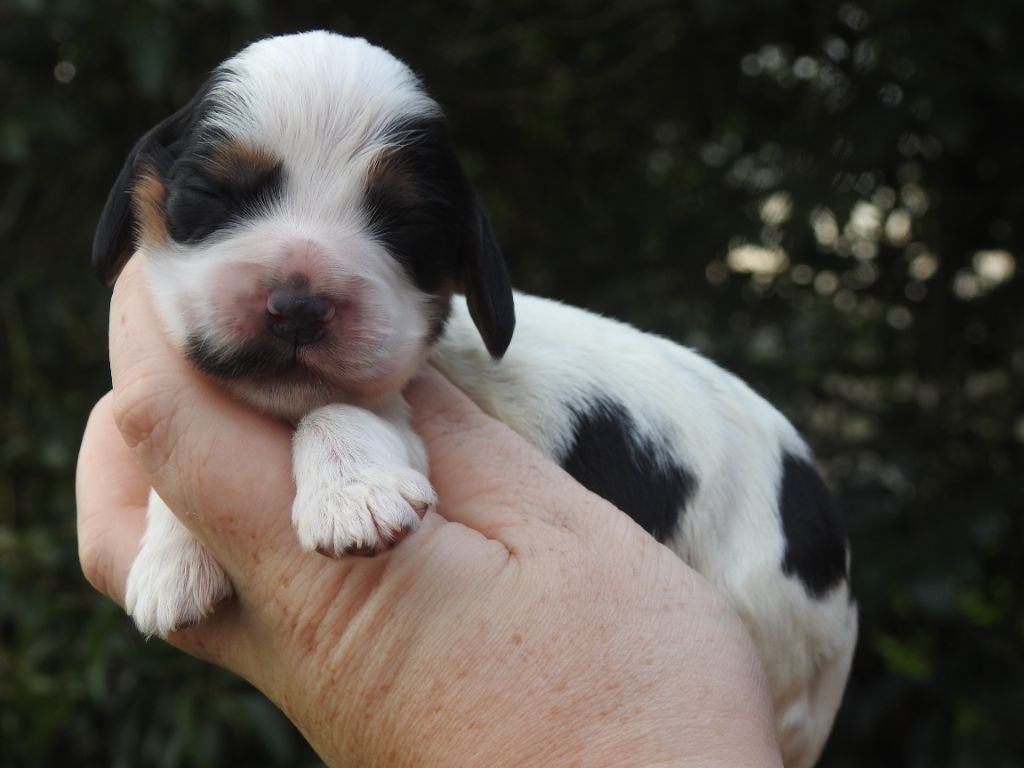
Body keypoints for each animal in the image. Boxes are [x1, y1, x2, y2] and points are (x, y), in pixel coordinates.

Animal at [94, 31, 856, 768]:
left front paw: (353, 493)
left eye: (405, 224)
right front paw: (172, 556)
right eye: (214, 194)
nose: (299, 307)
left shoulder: (404, 411)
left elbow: (338, 409)